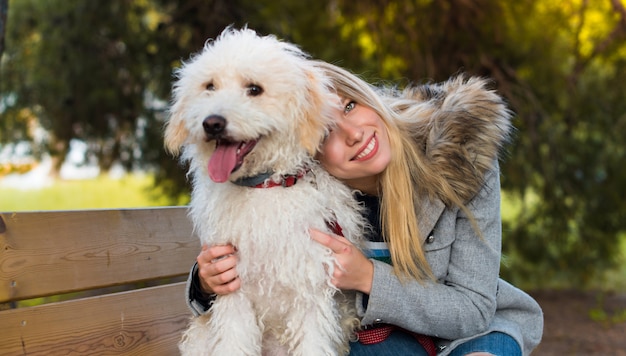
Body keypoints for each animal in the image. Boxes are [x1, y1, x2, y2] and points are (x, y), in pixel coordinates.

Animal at [163, 28, 364, 356]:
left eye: (254, 89)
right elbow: (233, 343)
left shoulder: (310, 292)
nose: (212, 123)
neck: (263, 187)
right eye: (210, 86)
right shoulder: (233, 291)